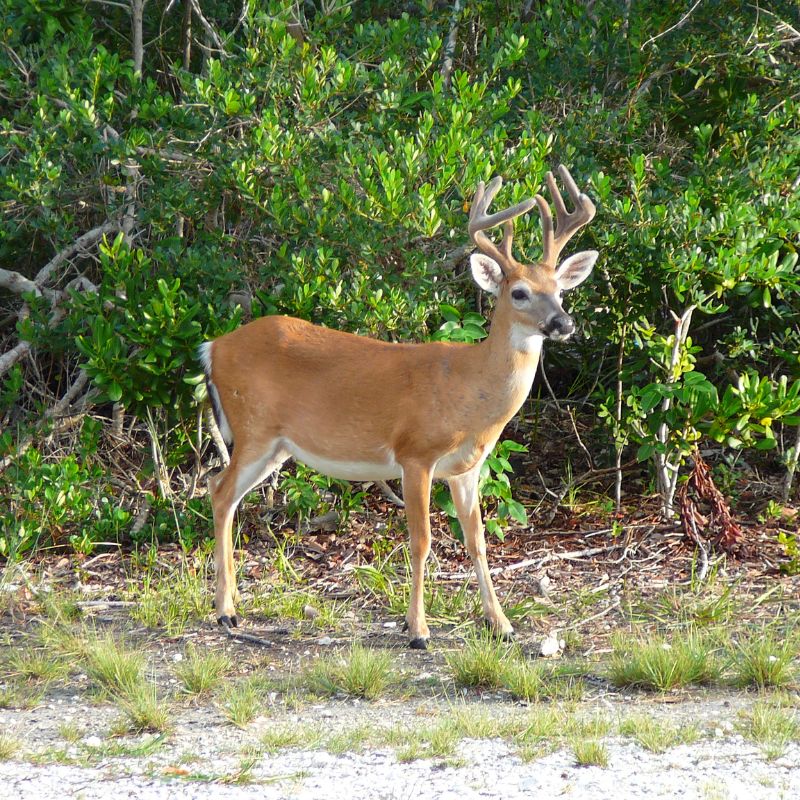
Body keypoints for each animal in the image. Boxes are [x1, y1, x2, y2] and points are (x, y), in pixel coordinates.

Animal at [199, 164, 597, 649]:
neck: (469, 391)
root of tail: (213, 347)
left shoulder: (466, 468)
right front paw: (418, 630)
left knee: (222, 491)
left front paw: (501, 623)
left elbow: (478, 540)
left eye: (560, 290)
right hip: (254, 427)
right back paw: (225, 612)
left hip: (275, 445)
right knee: (219, 490)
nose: (563, 323)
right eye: (519, 292)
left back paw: (232, 605)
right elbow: (421, 540)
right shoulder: (415, 454)